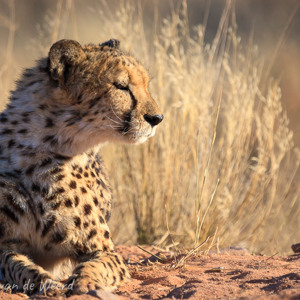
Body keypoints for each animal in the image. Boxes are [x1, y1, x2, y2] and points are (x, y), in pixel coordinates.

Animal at [0, 38, 164, 296]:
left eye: (146, 85)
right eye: (121, 86)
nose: (157, 118)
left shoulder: (105, 250)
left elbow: (97, 266)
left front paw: (85, 282)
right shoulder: (5, 243)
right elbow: (16, 264)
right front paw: (44, 282)